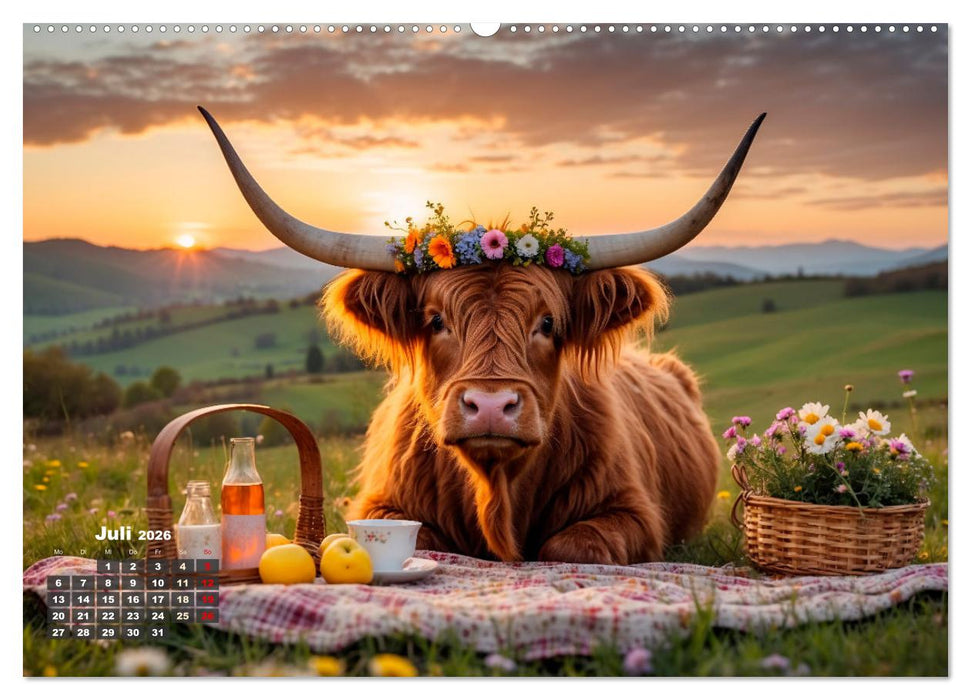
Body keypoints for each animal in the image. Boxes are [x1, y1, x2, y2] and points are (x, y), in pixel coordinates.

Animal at [199, 106, 765, 565]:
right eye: (436, 320)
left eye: (547, 323)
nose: (491, 406)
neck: (496, 489)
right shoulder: (381, 505)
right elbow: (423, 541)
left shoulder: (635, 514)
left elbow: (571, 546)